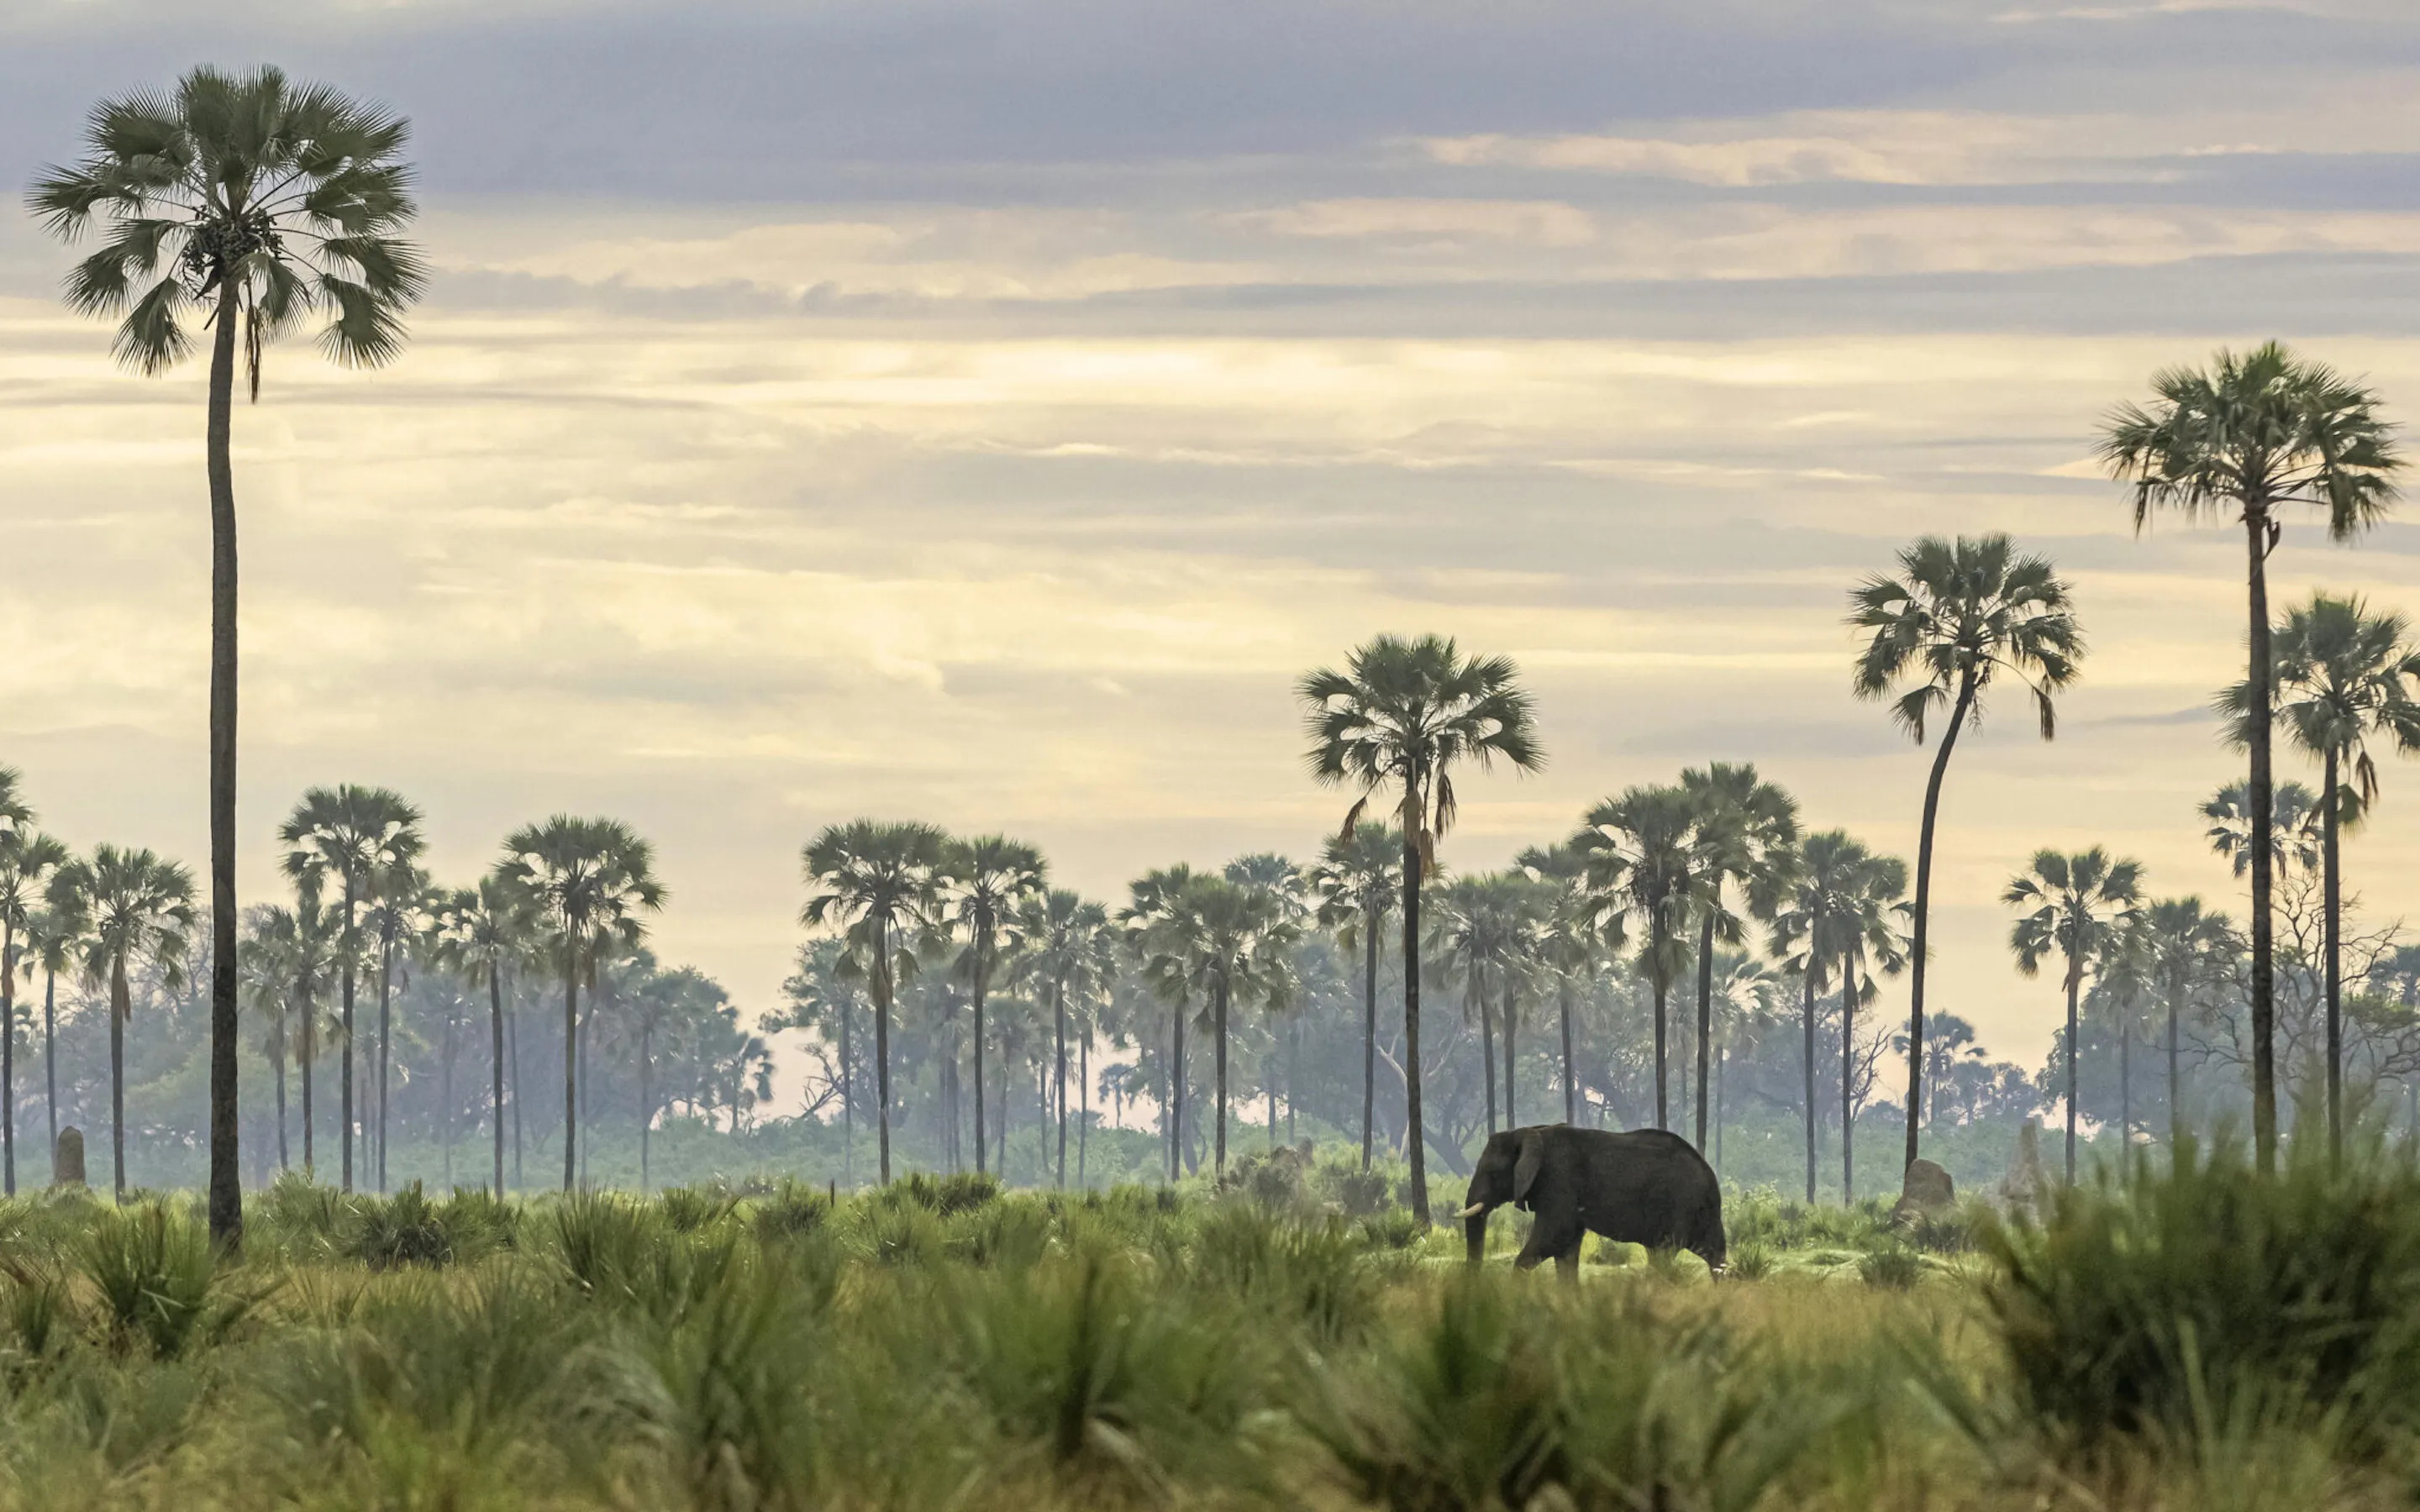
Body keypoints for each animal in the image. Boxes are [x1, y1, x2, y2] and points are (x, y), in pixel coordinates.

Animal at [1459, 1125, 1726, 1278]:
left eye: (1493, 1173)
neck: (1527, 1133)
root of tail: (1709, 1173)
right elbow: (1566, 1249)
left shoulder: (1559, 1178)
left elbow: (1555, 1236)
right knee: (1712, 1254)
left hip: (1681, 1204)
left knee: (1664, 1252)